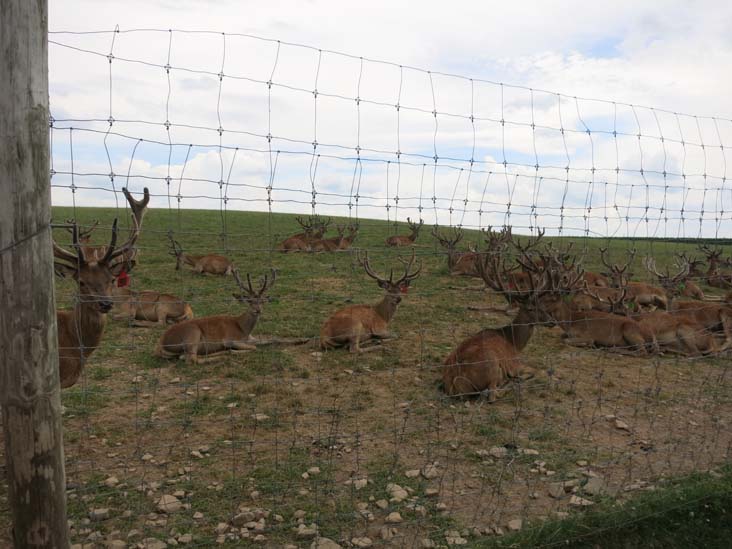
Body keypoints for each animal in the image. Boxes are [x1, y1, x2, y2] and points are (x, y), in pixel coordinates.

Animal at [442, 230, 572, 400]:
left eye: (542, 305)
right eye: (531, 308)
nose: (552, 321)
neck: (514, 343)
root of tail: (454, 382)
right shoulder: (515, 363)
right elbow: (536, 371)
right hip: (491, 365)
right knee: (491, 394)